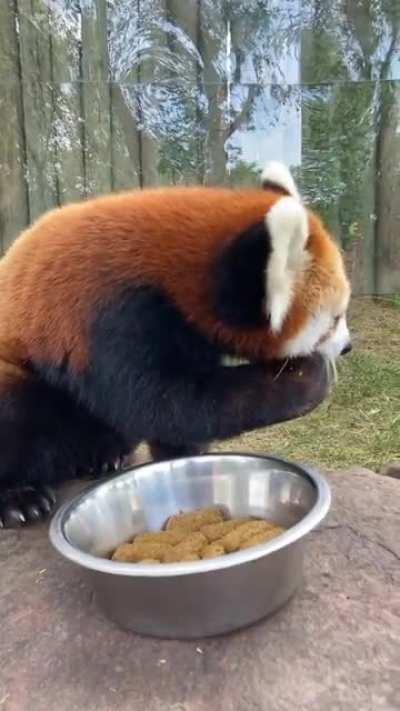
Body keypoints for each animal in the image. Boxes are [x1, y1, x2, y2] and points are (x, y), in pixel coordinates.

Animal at [0, 162, 351, 528]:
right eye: (335, 319)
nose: (347, 347)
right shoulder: (114, 315)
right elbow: (162, 403)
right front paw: (307, 379)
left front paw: (182, 455)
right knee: (17, 411)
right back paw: (20, 498)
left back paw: (105, 455)